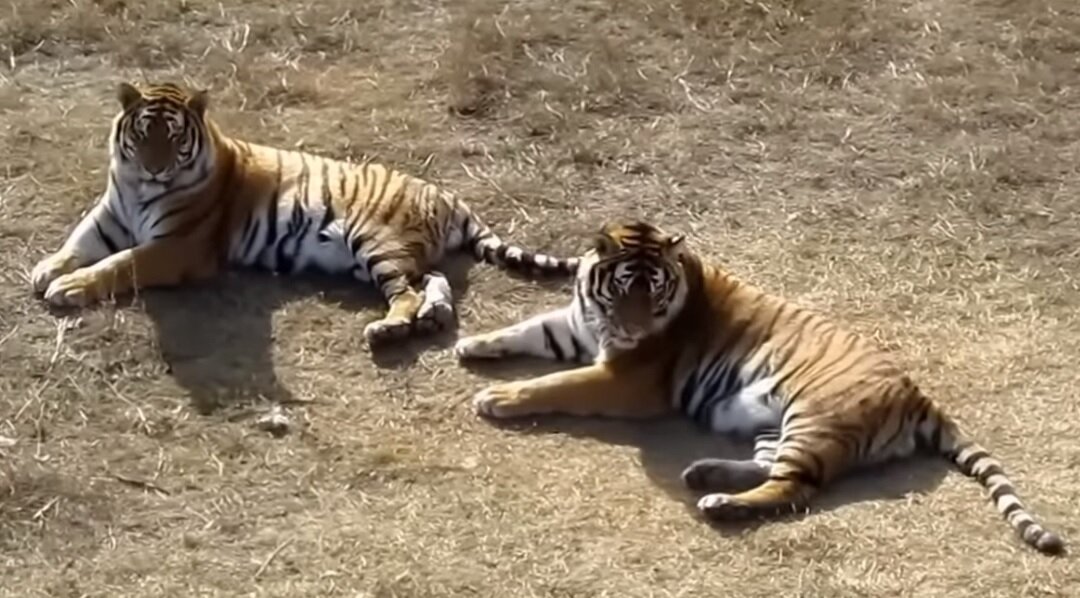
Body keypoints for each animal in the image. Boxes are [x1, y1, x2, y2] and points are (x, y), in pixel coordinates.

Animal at [29, 82, 578, 345]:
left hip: (376, 242)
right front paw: (47, 269)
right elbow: (77, 242)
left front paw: (68, 288)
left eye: (173, 136)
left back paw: (388, 330)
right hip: (396, 255)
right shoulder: (109, 216)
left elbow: (119, 264)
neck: (137, 187)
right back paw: (431, 318)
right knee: (432, 283)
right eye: (143, 135)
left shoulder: (177, 246)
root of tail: (447, 195)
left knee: (406, 293)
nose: (155, 168)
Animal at [451, 219, 1067, 552]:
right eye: (623, 288)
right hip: (779, 424)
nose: (636, 328)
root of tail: (918, 392)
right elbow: (530, 330)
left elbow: (556, 383)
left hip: (815, 421)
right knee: (771, 469)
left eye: (655, 292)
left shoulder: (625, 380)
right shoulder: (578, 325)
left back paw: (719, 503)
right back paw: (705, 475)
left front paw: (497, 397)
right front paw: (473, 345)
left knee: (794, 490)